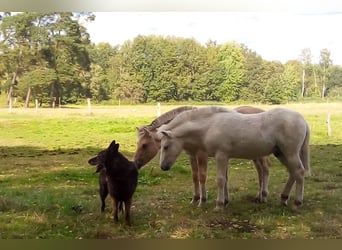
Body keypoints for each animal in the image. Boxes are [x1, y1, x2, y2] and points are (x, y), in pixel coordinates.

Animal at [135, 105, 272, 205]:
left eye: (144, 145)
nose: (136, 163)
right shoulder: (192, 155)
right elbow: (195, 177)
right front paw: (196, 198)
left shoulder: (202, 155)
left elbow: (202, 177)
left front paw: (203, 200)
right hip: (255, 155)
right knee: (260, 172)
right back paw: (258, 196)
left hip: (260, 156)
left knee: (264, 170)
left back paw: (263, 196)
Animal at [157, 106, 310, 211]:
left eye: (165, 146)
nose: (163, 167)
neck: (210, 126)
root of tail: (303, 120)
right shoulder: (225, 157)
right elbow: (225, 180)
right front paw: (225, 202)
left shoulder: (221, 156)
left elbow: (220, 180)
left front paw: (218, 205)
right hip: (281, 153)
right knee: (293, 173)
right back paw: (283, 199)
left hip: (290, 153)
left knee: (299, 172)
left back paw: (297, 203)